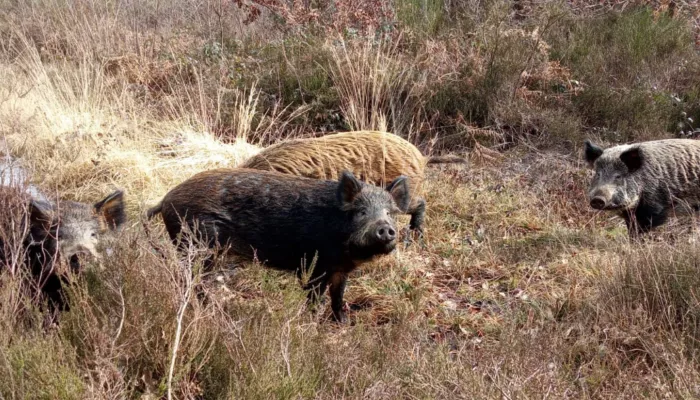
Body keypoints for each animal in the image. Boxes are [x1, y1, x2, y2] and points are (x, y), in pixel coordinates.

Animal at [148, 168, 410, 322]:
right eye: (361, 211)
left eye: (389, 212)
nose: (385, 228)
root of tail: (165, 200)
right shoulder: (314, 265)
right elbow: (315, 296)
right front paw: (312, 322)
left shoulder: (340, 270)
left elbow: (337, 296)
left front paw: (343, 322)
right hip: (197, 245)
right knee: (190, 279)